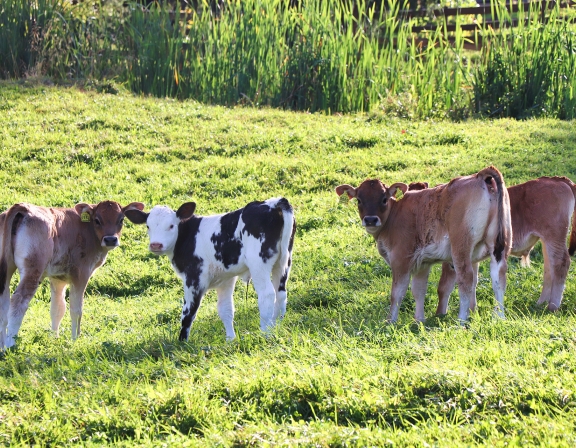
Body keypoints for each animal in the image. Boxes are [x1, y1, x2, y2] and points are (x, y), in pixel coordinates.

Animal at [0, 201, 145, 349]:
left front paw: (54, 338)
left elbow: (57, 308)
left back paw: (3, 345)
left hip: (6, 269)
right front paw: (75, 339)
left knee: (4, 303)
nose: (110, 239)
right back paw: (10, 344)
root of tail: (23, 207)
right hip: (33, 270)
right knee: (18, 301)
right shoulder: (81, 274)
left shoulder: (58, 278)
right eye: (97, 220)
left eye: (121, 219)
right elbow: (76, 309)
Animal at [125, 198, 296, 341]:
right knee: (280, 294)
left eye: (171, 225)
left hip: (259, 263)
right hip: (283, 262)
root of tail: (274, 203)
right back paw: (276, 327)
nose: (156, 245)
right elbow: (225, 309)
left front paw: (182, 343)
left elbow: (188, 312)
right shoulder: (226, 278)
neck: (188, 236)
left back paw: (265, 333)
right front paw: (230, 340)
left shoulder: (194, 277)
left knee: (267, 295)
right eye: (148, 226)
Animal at [335, 166, 512, 323]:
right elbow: (419, 290)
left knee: (466, 279)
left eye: (384, 199)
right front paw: (419, 320)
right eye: (359, 200)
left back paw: (461, 320)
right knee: (498, 278)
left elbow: (397, 292)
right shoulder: (422, 262)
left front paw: (390, 321)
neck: (395, 214)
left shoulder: (400, 259)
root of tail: (479, 176)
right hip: (498, 246)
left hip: (460, 246)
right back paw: (500, 317)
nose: (371, 219)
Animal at [436, 176, 576, 314]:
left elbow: (444, 285)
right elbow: (473, 280)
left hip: (554, 236)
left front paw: (440, 315)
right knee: (549, 268)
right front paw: (472, 310)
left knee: (561, 263)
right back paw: (541, 303)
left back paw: (552, 306)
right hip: (547, 241)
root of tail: (556, 179)